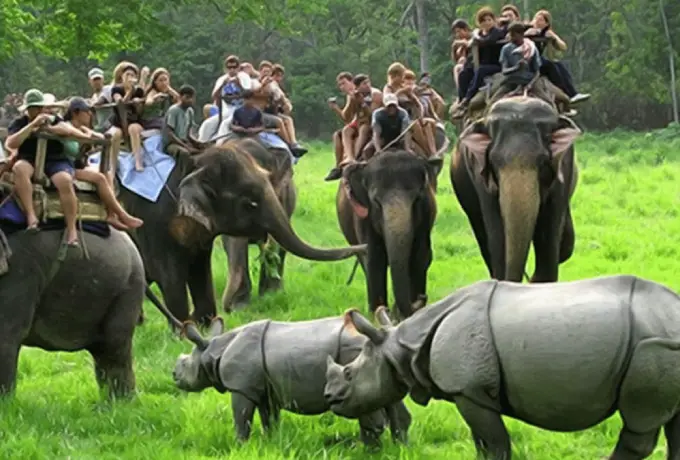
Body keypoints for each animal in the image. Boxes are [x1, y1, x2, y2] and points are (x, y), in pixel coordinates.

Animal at [0, 224, 145, 397]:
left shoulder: (20, 272)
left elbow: (7, 335)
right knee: (103, 350)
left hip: (128, 288)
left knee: (114, 347)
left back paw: (122, 402)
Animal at [118, 138, 365, 327]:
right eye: (250, 203)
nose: (364, 247)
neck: (193, 163)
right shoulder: (153, 221)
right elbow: (168, 274)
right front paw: (185, 332)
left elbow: (200, 269)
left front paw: (205, 325)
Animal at [336, 150, 443, 319]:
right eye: (376, 202)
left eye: (417, 199)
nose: (422, 298)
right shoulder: (363, 218)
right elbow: (374, 259)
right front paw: (377, 314)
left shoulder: (426, 216)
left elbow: (420, 256)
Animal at [450, 95, 582, 282]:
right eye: (494, 160)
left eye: (543, 161)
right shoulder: (479, 174)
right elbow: (497, 235)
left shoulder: (564, 165)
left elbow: (549, 235)